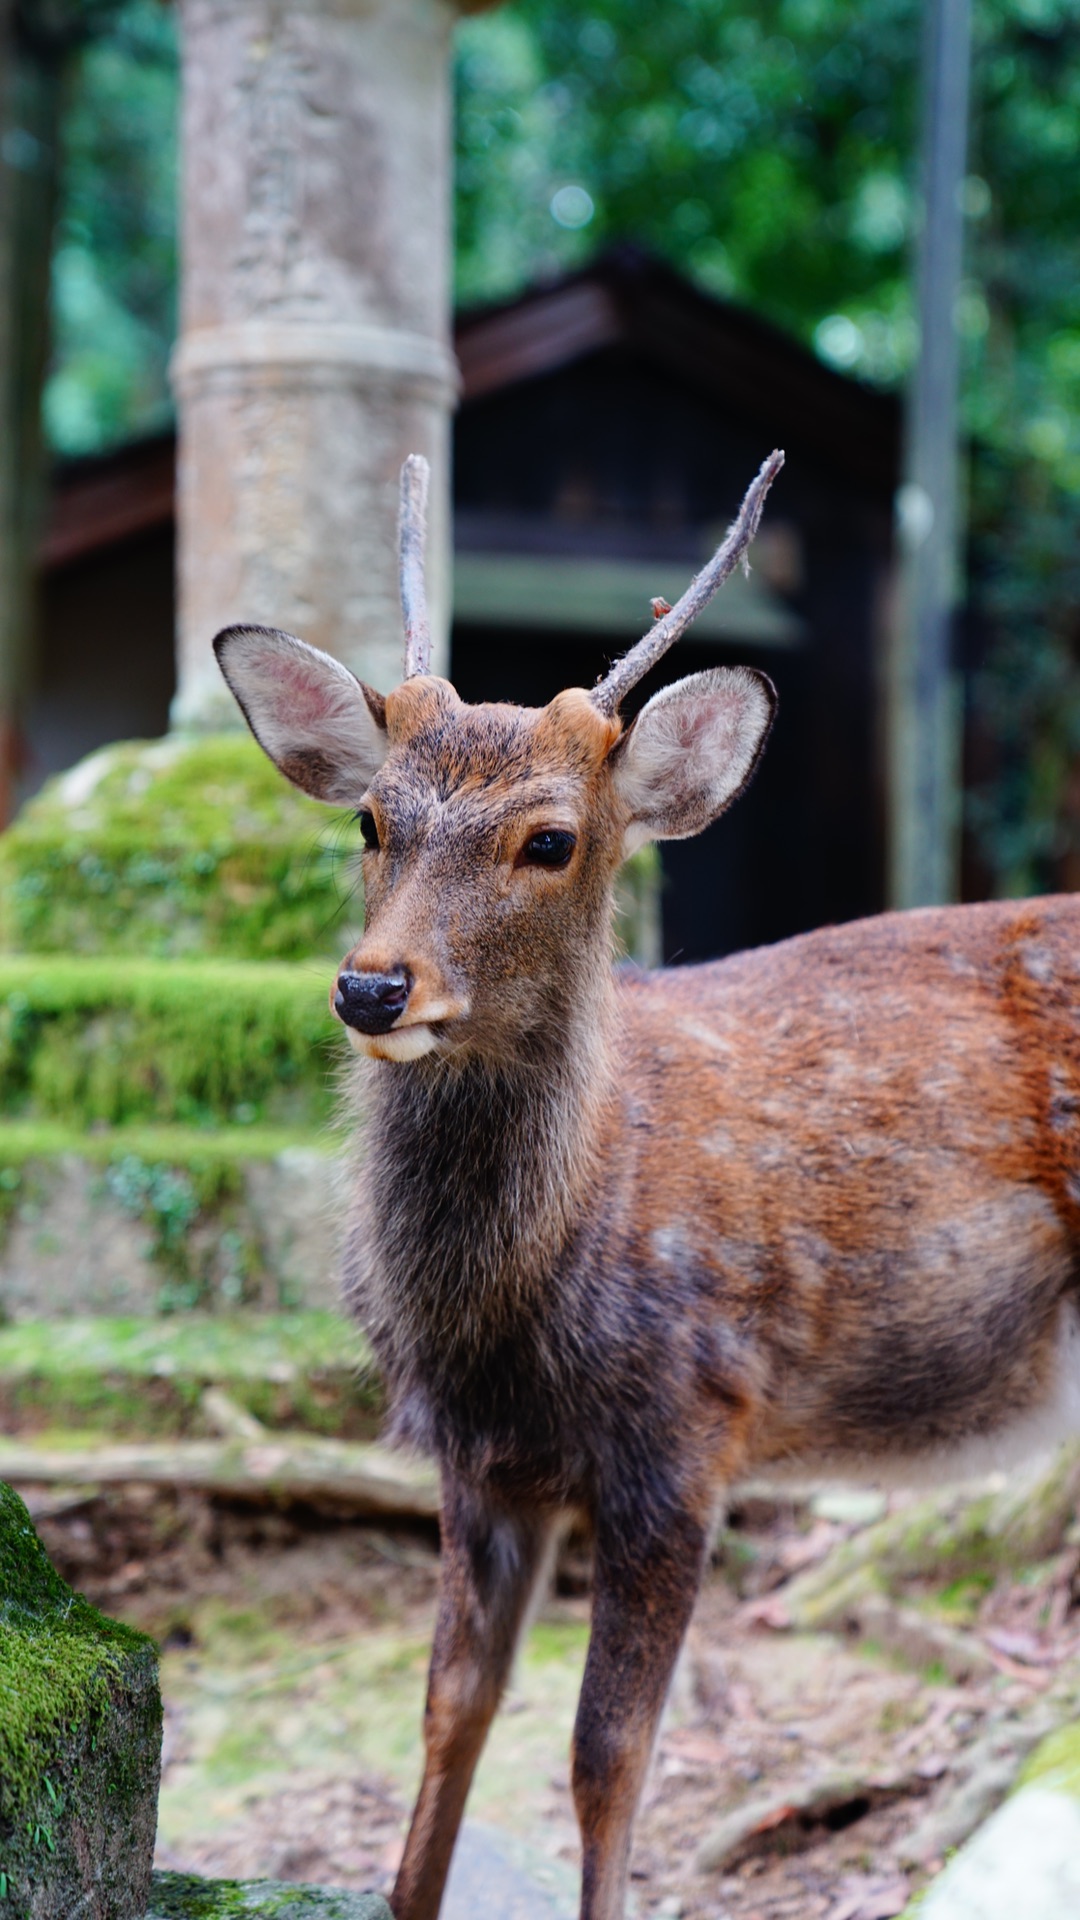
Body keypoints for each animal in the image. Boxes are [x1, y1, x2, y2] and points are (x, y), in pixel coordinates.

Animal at [214, 453, 1076, 1920]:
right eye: (373, 820)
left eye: (551, 842)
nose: (373, 987)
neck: (511, 1302)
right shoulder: (479, 1461)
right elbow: (449, 1714)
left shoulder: (687, 1425)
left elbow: (607, 1756)